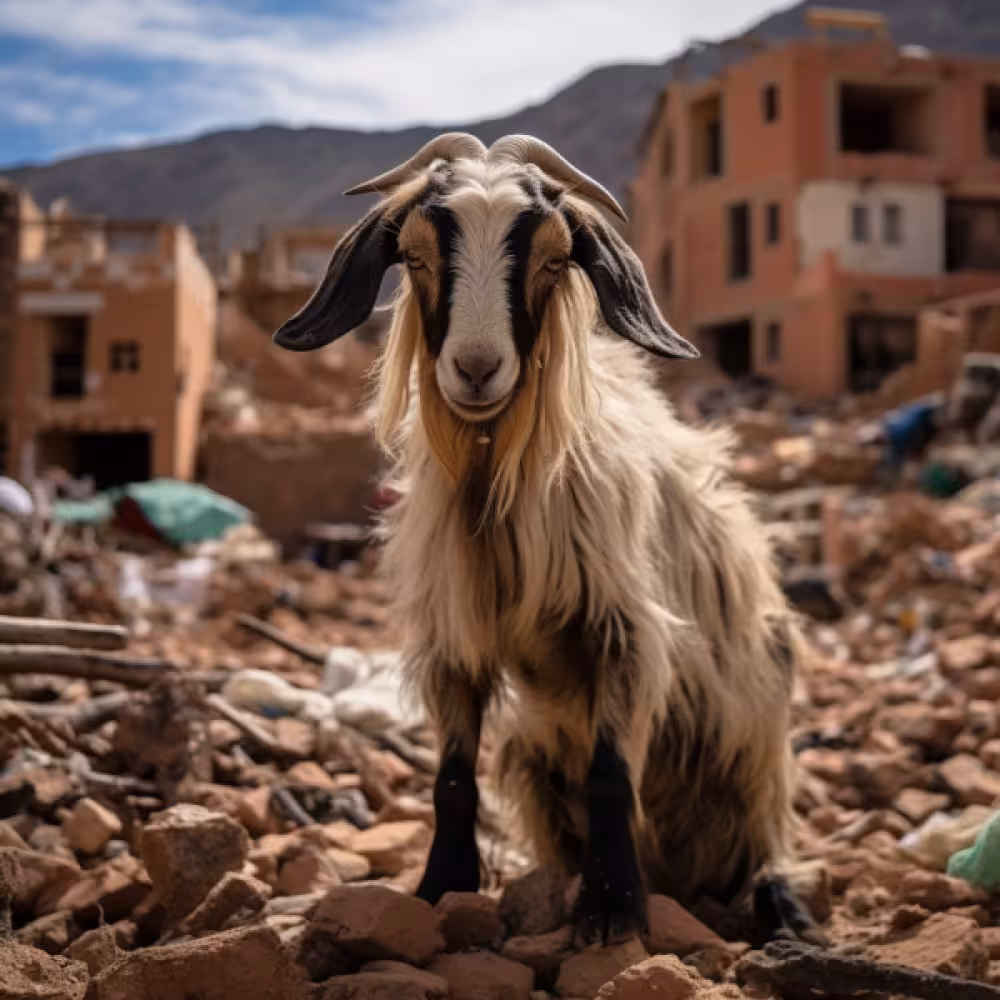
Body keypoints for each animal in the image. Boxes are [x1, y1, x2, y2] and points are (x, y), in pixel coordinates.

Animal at [274, 133, 821, 945]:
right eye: (415, 255)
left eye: (554, 258)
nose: (476, 369)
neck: (497, 486)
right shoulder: (454, 637)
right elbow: (452, 779)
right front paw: (442, 886)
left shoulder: (625, 631)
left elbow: (610, 777)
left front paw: (612, 907)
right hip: (539, 764)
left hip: (753, 738)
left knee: (765, 829)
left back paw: (780, 906)